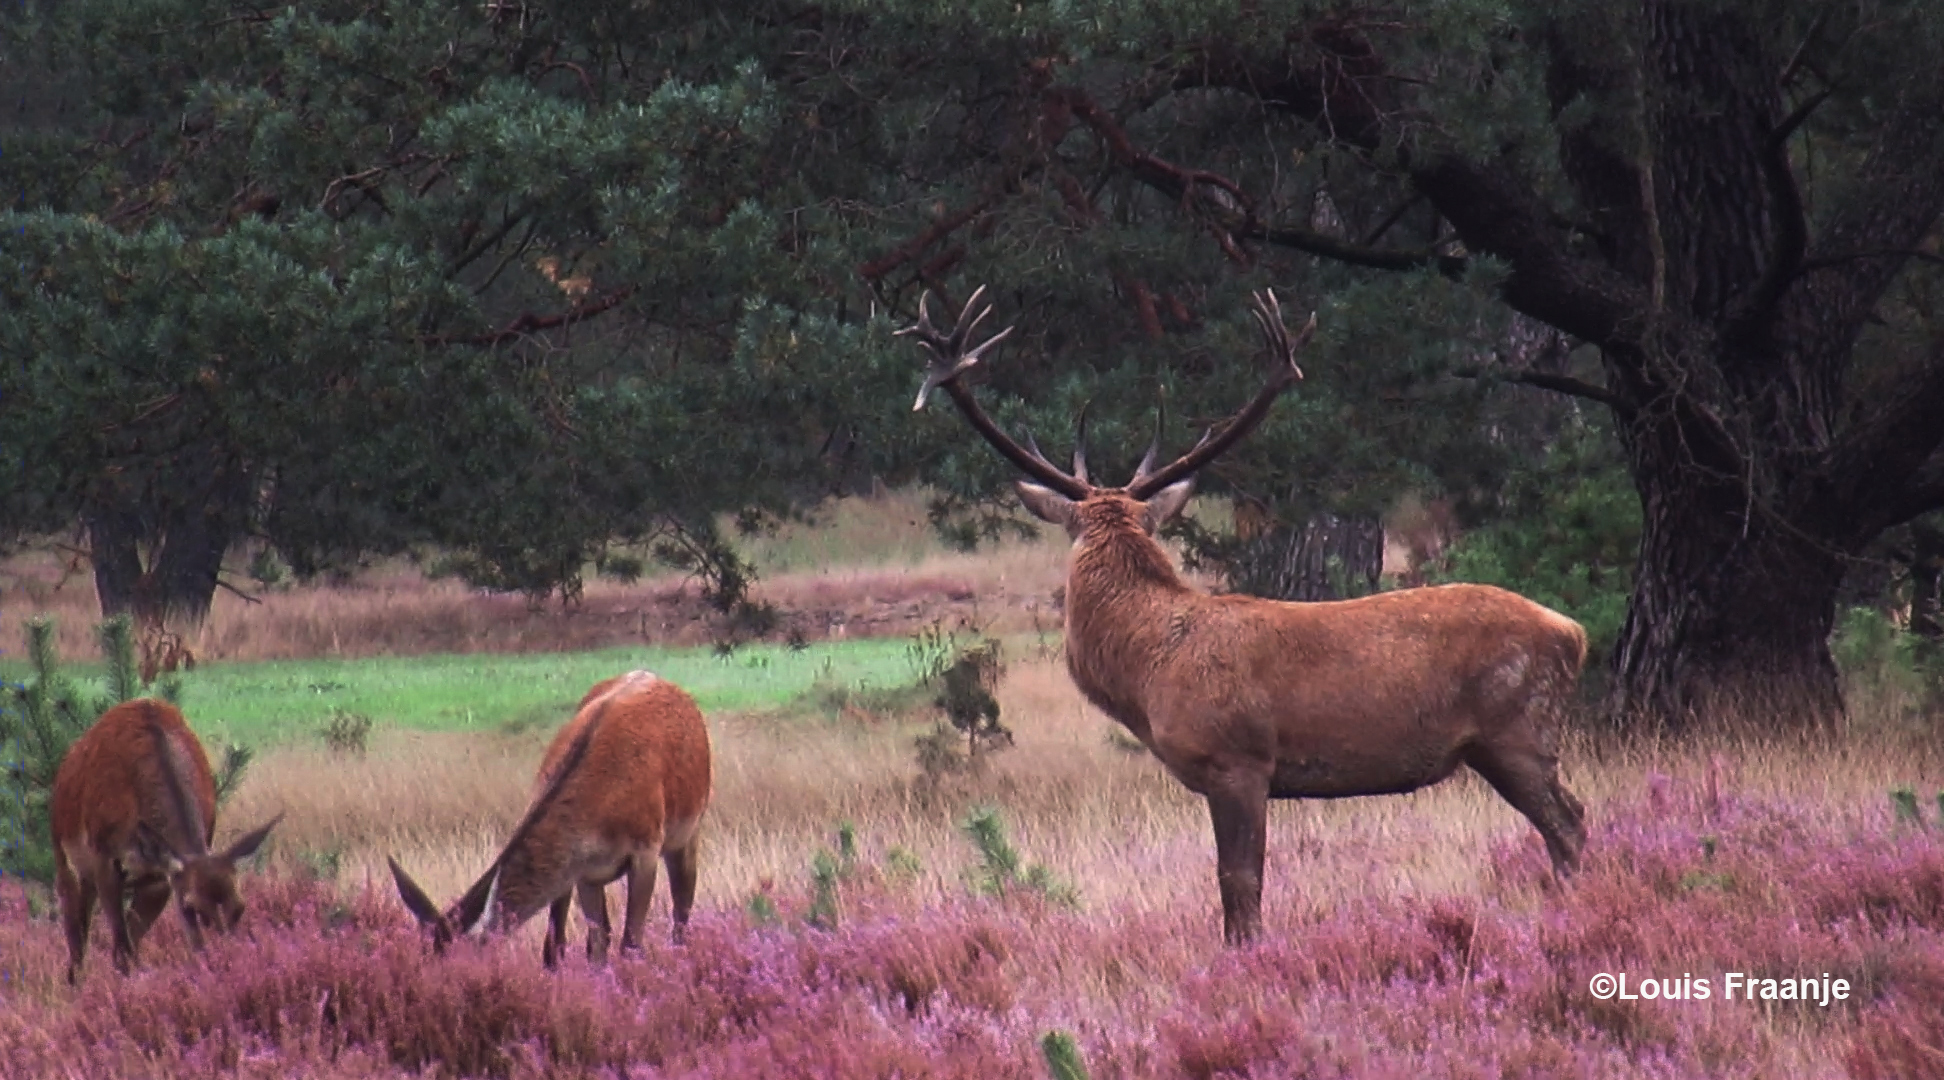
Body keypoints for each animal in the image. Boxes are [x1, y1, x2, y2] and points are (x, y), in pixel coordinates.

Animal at [50, 695, 279, 982]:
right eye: (192, 907)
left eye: (240, 908)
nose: (227, 960)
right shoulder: (104, 857)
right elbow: (120, 946)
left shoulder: (160, 878)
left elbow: (135, 947)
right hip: (64, 855)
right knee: (76, 938)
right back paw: (75, 981)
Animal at [386, 672, 715, 967]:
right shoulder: (583, 871)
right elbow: (588, 946)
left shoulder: (645, 848)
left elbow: (631, 946)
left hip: (689, 829)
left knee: (682, 911)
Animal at [902, 287, 1586, 944]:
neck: (1148, 670)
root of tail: (1573, 633)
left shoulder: (1237, 761)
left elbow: (1239, 880)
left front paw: (1248, 954)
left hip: (1519, 728)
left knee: (1570, 824)